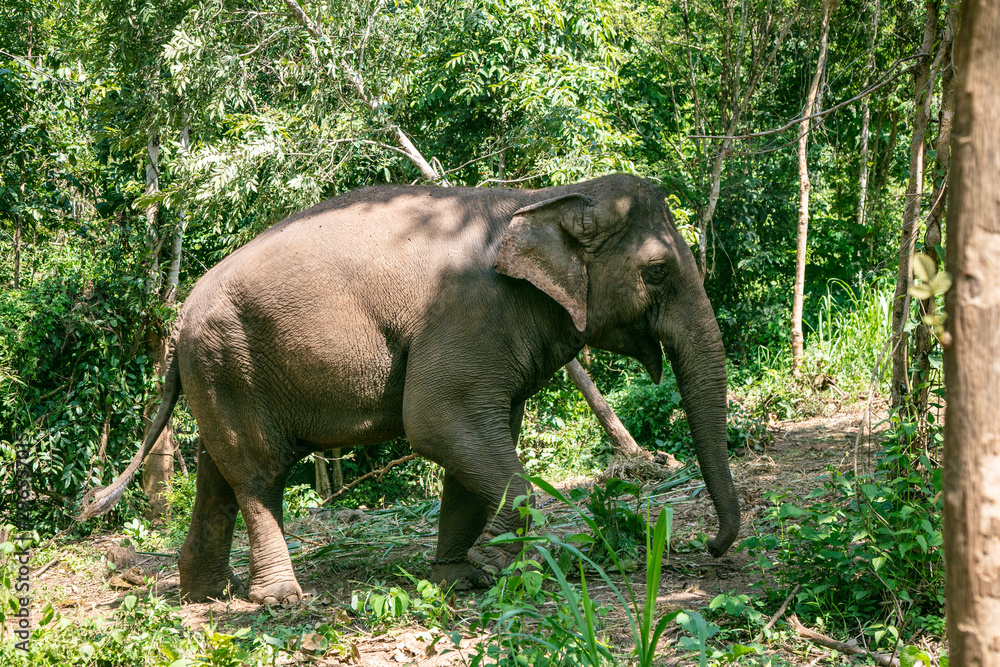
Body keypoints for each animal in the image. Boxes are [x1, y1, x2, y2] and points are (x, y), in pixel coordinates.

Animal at [79, 173, 740, 605]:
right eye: (658, 271)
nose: (711, 546)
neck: (540, 201)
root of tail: (179, 317)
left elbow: (481, 437)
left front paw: (455, 576)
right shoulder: (469, 317)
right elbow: (438, 421)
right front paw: (488, 563)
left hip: (218, 371)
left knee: (219, 472)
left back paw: (203, 595)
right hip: (229, 357)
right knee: (258, 471)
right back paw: (279, 600)